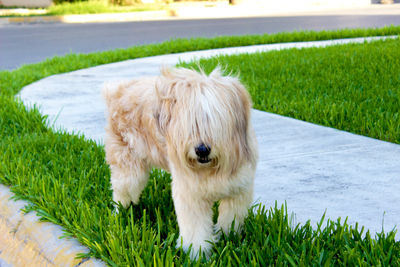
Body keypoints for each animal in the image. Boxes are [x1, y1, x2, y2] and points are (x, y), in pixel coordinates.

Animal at [103, 67, 258, 260]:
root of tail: (117, 90)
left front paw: (228, 239)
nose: (202, 150)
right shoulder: (190, 195)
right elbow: (195, 229)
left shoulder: (238, 191)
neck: (212, 168)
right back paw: (120, 214)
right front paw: (197, 254)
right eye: (190, 125)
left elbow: (230, 221)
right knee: (121, 191)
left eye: (212, 122)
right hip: (129, 170)